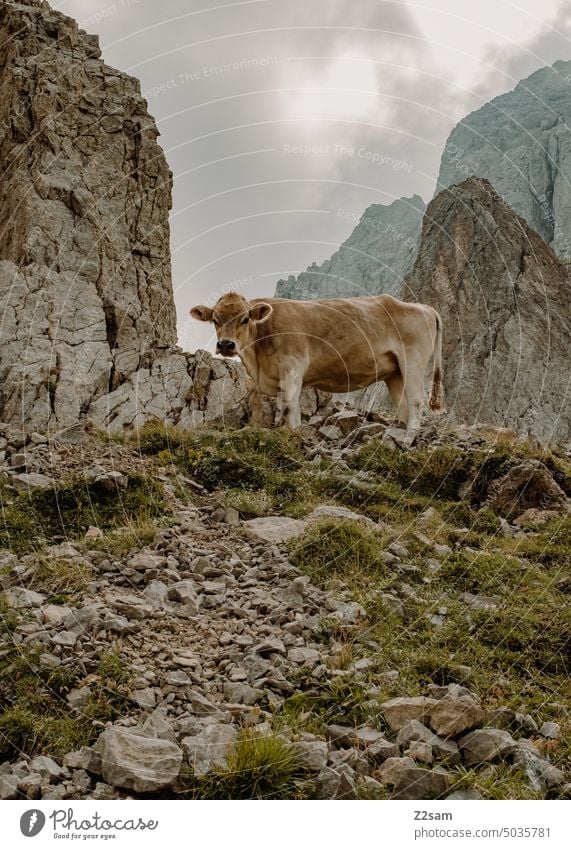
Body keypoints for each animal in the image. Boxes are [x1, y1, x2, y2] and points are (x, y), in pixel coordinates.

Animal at [190, 294, 444, 430]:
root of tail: (424, 307)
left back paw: (409, 436)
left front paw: (293, 432)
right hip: (395, 372)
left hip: (413, 361)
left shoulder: (292, 368)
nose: (225, 345)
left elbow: (290, 407)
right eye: (215, 320)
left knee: (416, 401)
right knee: (402, 404)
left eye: (244, 319)